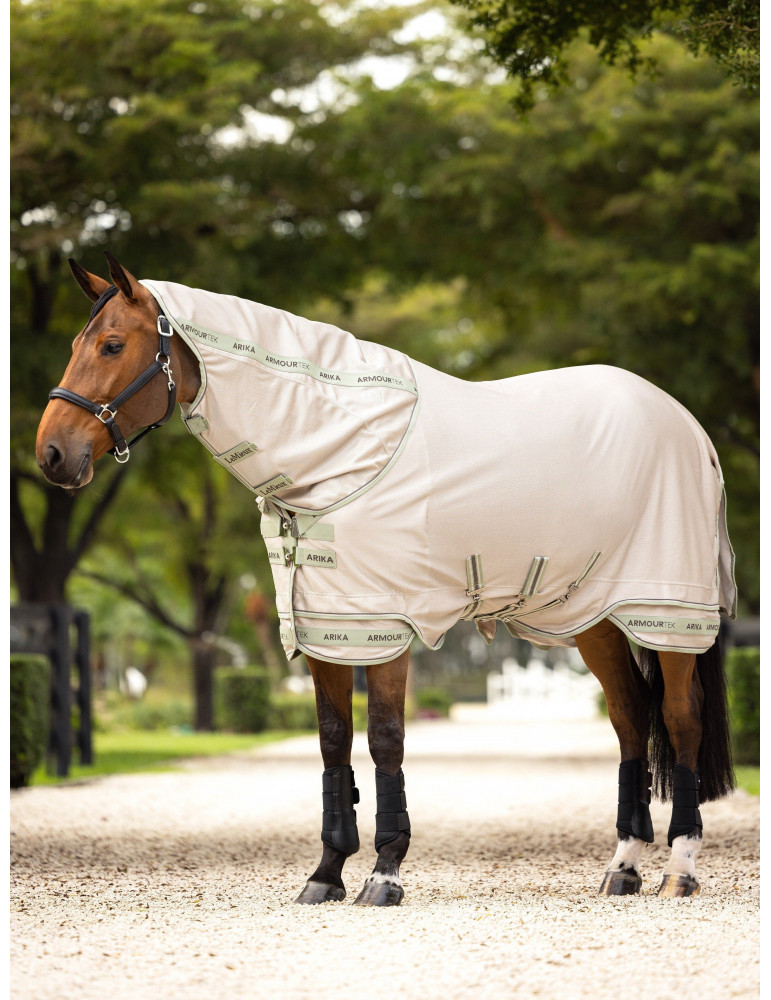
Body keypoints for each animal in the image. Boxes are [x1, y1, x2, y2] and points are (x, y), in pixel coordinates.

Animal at [36, 253, 736, 905]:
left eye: (112, 344)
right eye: (73, 345)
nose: (52, 454)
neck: (342, 446)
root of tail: (689, 426)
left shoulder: (387, 625)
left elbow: (384, 740)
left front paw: (384, 873)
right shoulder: (328, 627)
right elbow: (333, 743)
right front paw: (325, 874)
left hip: (670, 614)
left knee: (679, 719)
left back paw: (679, 869)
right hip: (596, 618)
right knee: (629, 719)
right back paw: (623, 868)